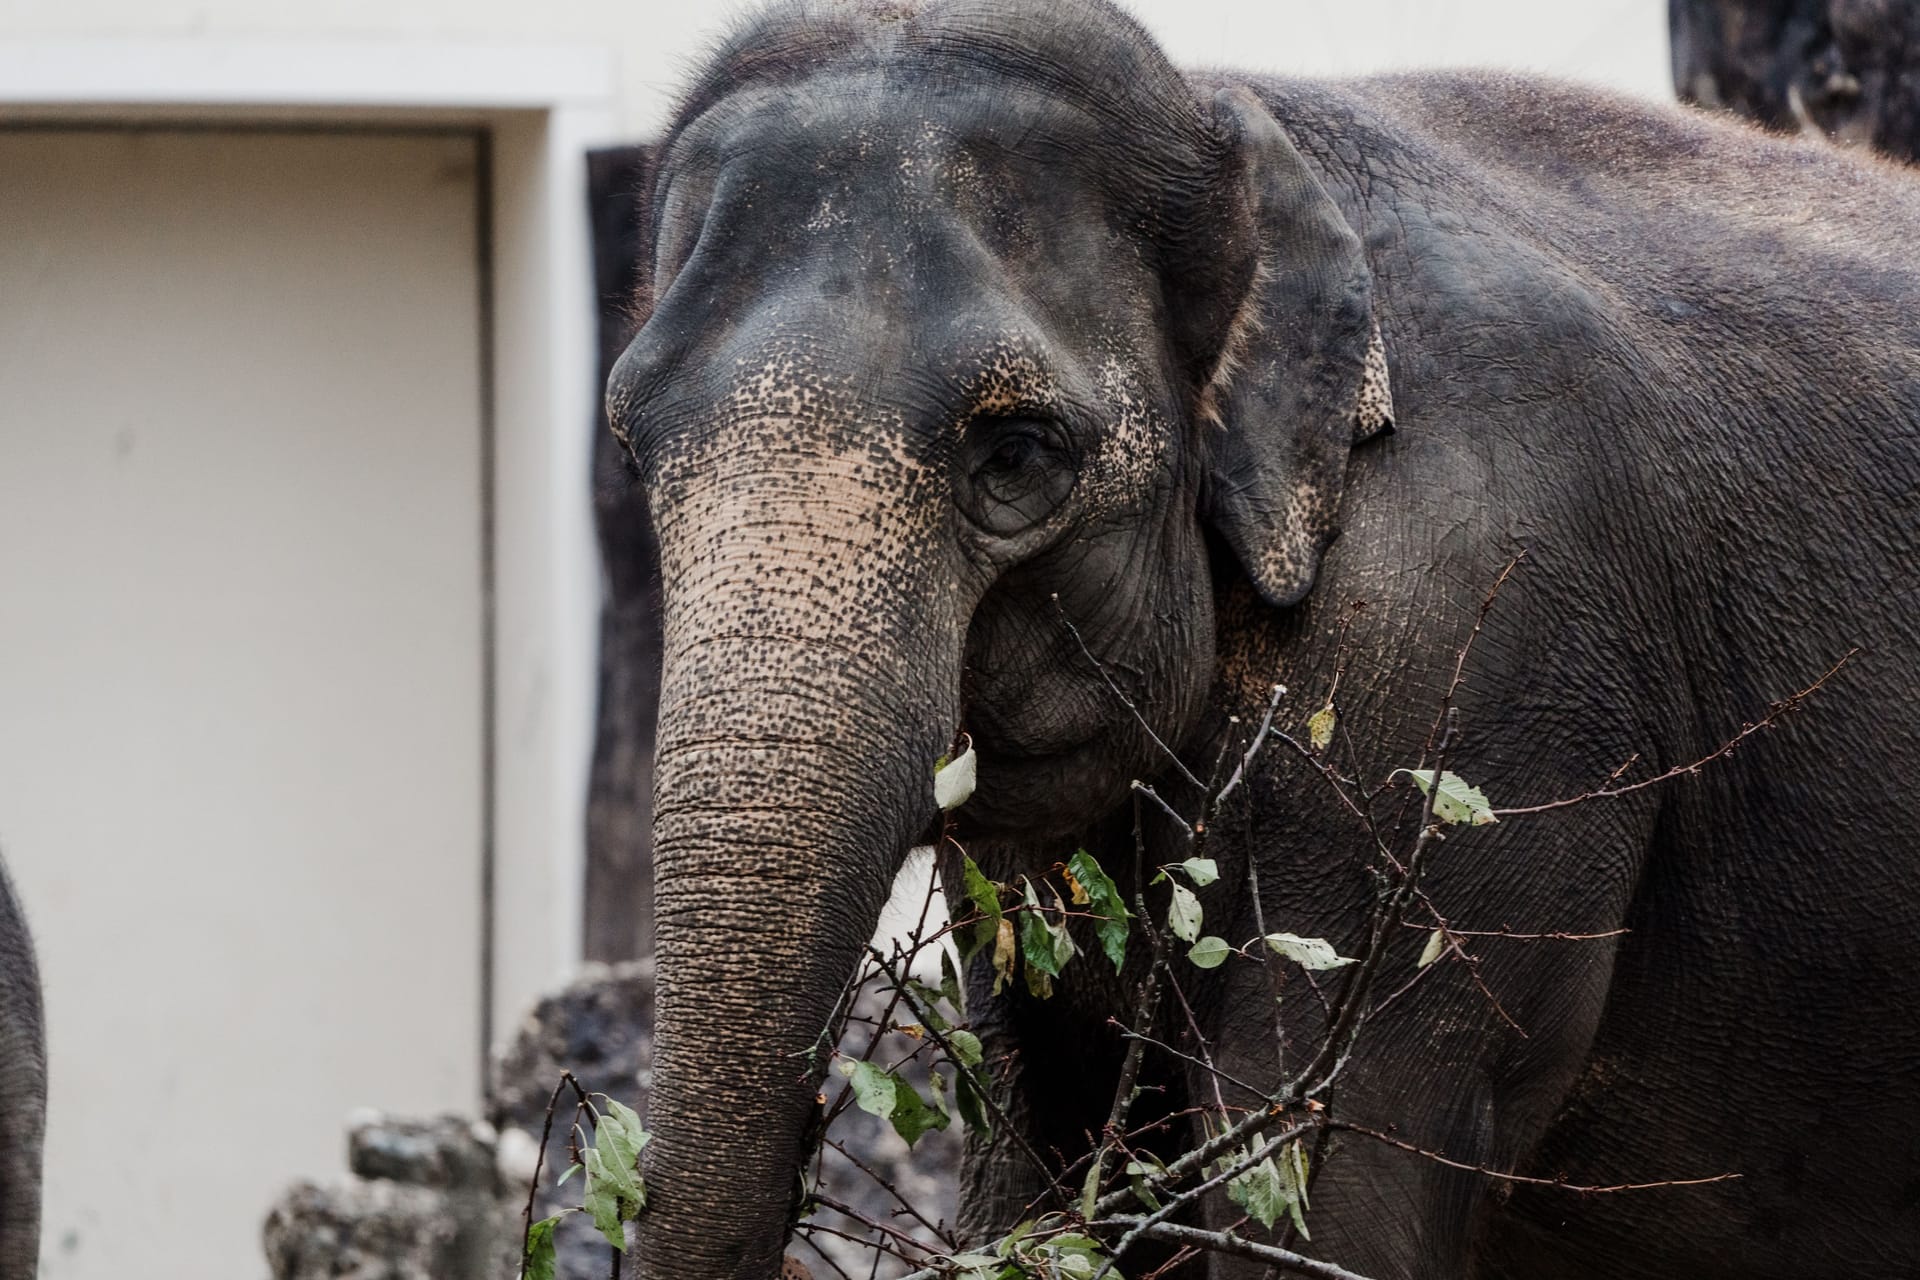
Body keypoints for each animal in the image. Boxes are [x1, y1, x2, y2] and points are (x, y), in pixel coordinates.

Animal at [610, 0, 1920, 1274]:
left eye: (1016, 454)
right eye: (633, 445)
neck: (1232, 118)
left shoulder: (1463, 670)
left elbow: (1323, 1195)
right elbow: (1054, 1172)